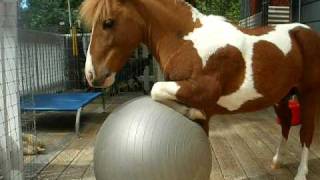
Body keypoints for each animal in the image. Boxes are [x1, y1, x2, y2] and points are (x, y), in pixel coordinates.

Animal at [80, 0, 320, 179]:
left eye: (108, 22)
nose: (92, 75)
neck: (185, 42)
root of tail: (308, 33)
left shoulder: (203, 91)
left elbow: (156, 89)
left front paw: (192, 111)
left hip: (308, 94)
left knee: (306, 133)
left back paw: (301, 173)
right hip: (281, 96)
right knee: (286, 123)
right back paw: (277, 161)